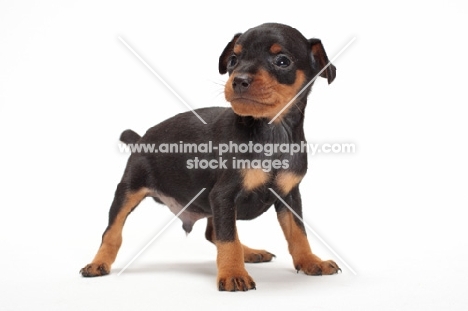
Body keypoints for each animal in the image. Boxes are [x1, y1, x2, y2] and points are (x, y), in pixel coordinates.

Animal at [81, 22, 340, 292]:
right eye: (233, 60)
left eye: (282, 61)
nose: (239, 80)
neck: (272, 131)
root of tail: (142, 139)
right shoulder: (223, 195)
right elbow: (228, 238)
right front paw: (233, 274)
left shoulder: (289, 195)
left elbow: (298, 233)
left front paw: (311, 261)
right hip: (129, 189)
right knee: (112, 232)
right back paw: (98, 263)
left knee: (213, 233)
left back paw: (249, 252)